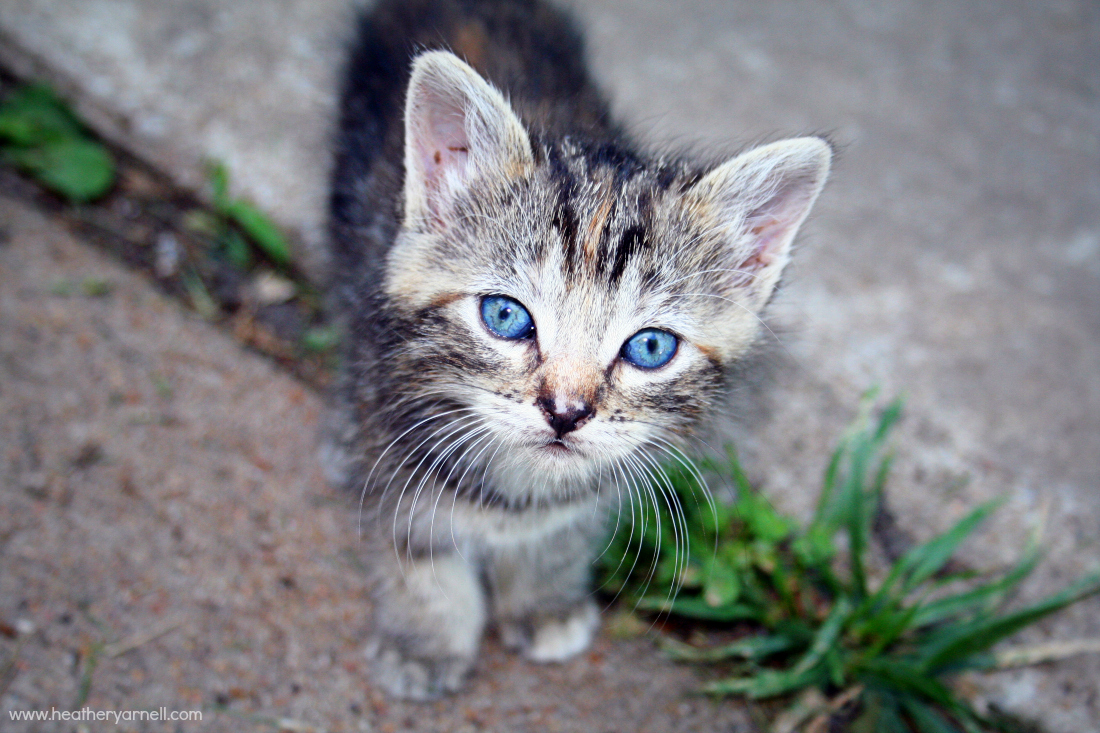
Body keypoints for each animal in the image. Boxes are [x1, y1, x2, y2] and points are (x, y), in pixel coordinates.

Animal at [321, 0, 827, 699]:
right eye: (505, 316)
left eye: (650, 347)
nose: (565, 411)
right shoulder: (386, 430)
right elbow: (417, 545)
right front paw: (424, 640)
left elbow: (561, 532)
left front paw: (543, 599)